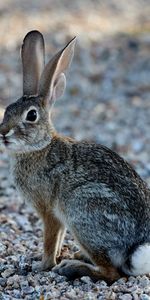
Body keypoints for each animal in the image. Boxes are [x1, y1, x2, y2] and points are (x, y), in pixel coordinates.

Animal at [0, 31, 150, 284]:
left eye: (31, 115)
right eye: (7, 109)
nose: (3, 133)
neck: (39, 147)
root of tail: (135, 248)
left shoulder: (49, 210)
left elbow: (50, 240)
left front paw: (43, 265)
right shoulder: (58, 217)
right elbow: (58, 239)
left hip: (82, 210)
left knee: (112, 273)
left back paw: (72, 268)